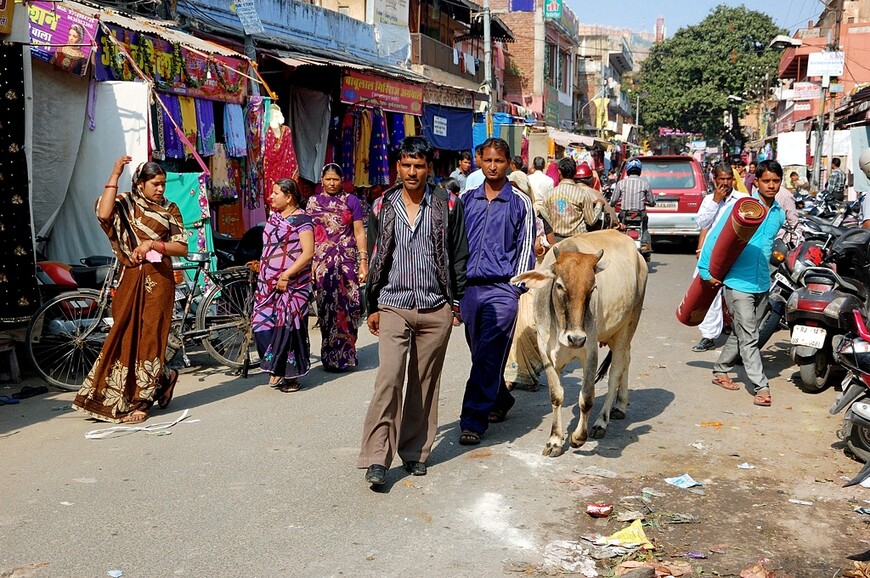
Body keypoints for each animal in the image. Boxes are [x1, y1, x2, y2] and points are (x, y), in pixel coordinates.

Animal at [510, 230, 648, 454]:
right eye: (559, 285)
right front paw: (555, 441)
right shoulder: (545, 351)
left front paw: (577, 437)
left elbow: (587, 398)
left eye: (592, 288)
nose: (575, 338)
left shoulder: (590, 350)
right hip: (616, 333)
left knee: (615, 374)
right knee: (626, 360)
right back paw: (620, 405)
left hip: (628, 325)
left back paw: (602, 421)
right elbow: (556, 395)